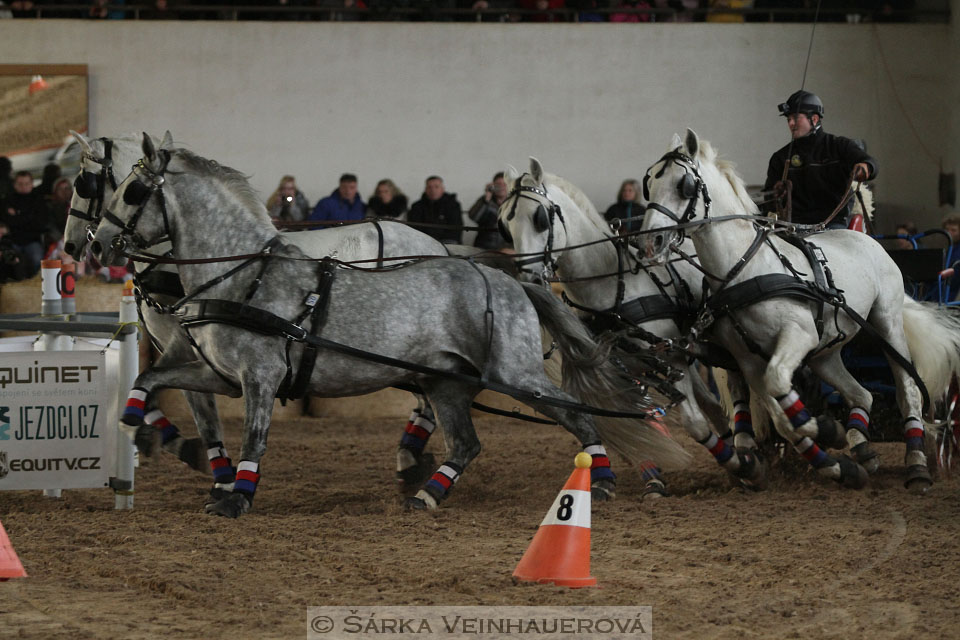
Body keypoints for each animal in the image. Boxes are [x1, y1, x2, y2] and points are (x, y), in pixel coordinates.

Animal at [86, 134, 680, 516]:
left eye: (131, 191)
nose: (94, 245)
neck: (243, 274)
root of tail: (509, 278)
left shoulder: (260, 375)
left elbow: (255, 435)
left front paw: (237, 495)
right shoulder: (219, 374)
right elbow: (145, 383)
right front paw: (148, 434)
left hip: (514, 375)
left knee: (577, 416)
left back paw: (602, 478)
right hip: (446, 382)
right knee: (466, 444)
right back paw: (427, 493)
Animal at [498, 159, 768, 490]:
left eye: (540, 218)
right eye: (505, 225)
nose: (530, 279)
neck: (611, 282)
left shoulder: (671, 357)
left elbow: (693, 423)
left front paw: (746, 468)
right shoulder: (629, 366)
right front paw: (648, 479)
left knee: (734, 381)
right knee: (714, 403)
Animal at [640, 127, 960, 492]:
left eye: (685, 185)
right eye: (649, 182)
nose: (650, 242)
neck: (745, 269)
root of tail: (867, 238)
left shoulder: (798, 335)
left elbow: (780, 384)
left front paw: (826, 433)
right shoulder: (747, 359)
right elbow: (780, 415)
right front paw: (829, 442)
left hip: (887, 325)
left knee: (908, 390)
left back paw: (917, 465)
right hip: (826, 352)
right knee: (862, 395)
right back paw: (861, 448)